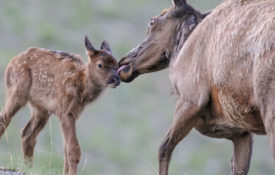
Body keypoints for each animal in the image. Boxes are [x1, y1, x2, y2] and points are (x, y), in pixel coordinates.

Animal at [0, 36, 121, 175]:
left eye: (116, 65)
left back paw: (29, 167)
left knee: (27, 134)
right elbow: (73, 149)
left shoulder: (73, 113)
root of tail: (11, 63)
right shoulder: (66, 111)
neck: (80, 87)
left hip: (41, 109)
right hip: (18, 91)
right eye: (100, 64)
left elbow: (66, 148)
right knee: (5, 118)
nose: (116, 80)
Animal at [118, 0, 275, 175]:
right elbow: (238, 167)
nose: (123, 61)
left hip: (269, 108)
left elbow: (164, 149)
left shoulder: (191, 98)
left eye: (152, 21)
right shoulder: (241, 131)